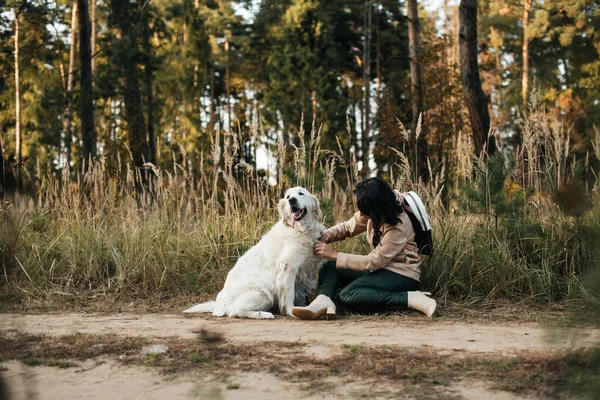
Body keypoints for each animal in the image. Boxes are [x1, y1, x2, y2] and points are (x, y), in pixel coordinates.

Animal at [183, 187, 326, 318]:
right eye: (287, 197)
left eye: (301, 193)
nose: (292, 200)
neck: (300, 229)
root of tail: (218, 305)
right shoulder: (288, 268)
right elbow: (289, 294)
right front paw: (291, 311)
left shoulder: (304, 271)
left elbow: (299, 294)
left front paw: (303, 309)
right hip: (264, 290)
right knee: (235, 311)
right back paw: (264, 314)